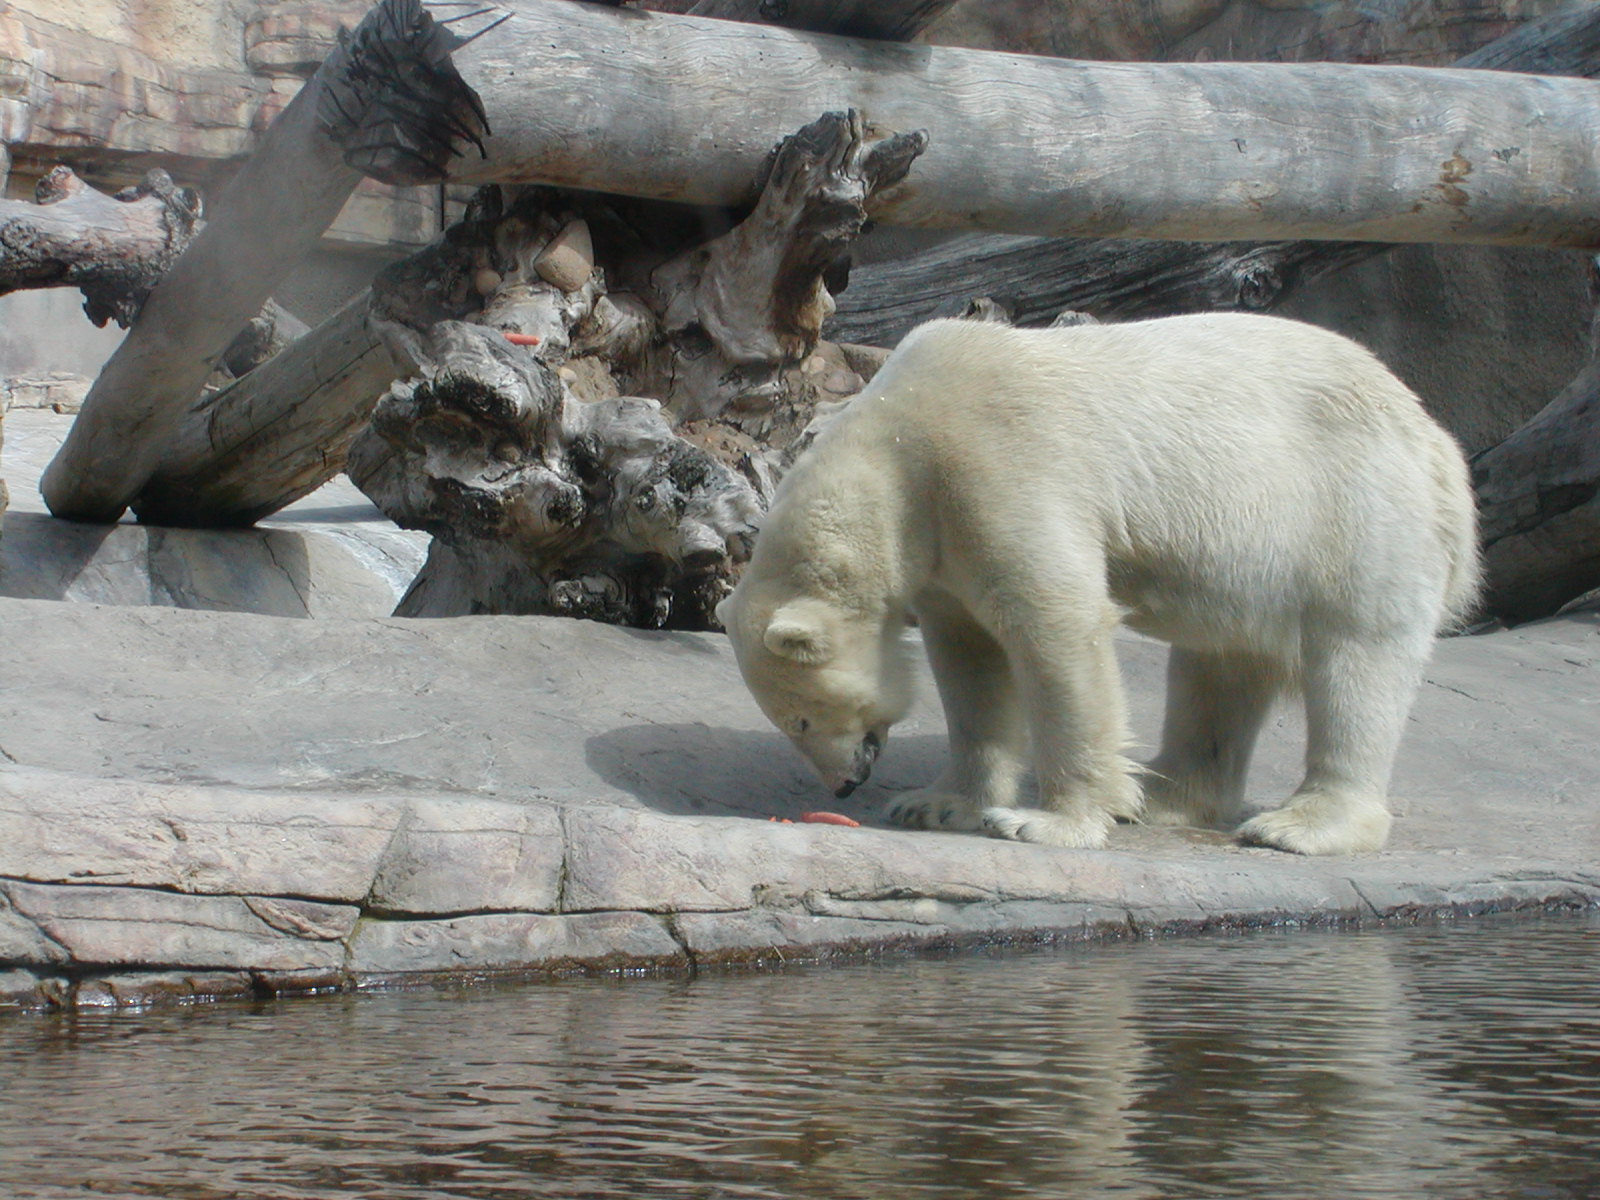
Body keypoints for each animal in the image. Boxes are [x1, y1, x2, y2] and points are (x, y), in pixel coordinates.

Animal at [717, 313, 1480, 855]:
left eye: (802, 716)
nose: (845, 783)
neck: (901, 442)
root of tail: (1439, 443)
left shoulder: (996, 465)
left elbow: (1055, 625)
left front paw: (1046, 822)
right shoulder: (939, 541)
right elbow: (969, 661)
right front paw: (937, 803)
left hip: (1355, 509)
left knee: (1358, 658)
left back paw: (1299, 825)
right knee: (1219, 668)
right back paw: (1164, 795)